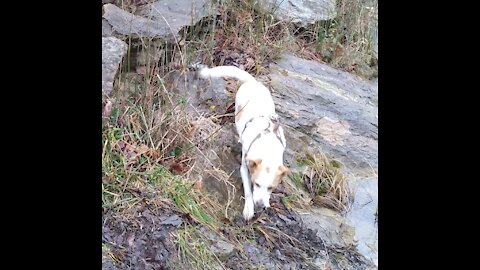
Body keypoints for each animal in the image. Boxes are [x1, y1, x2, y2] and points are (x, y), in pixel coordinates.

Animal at [199, 66, 288, 221]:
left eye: (271, 188)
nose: (260, 206)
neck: (267, 146)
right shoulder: (245, 168)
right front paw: (249, 208)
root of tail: (253, 82)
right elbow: (247, 190)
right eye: (256, 183)